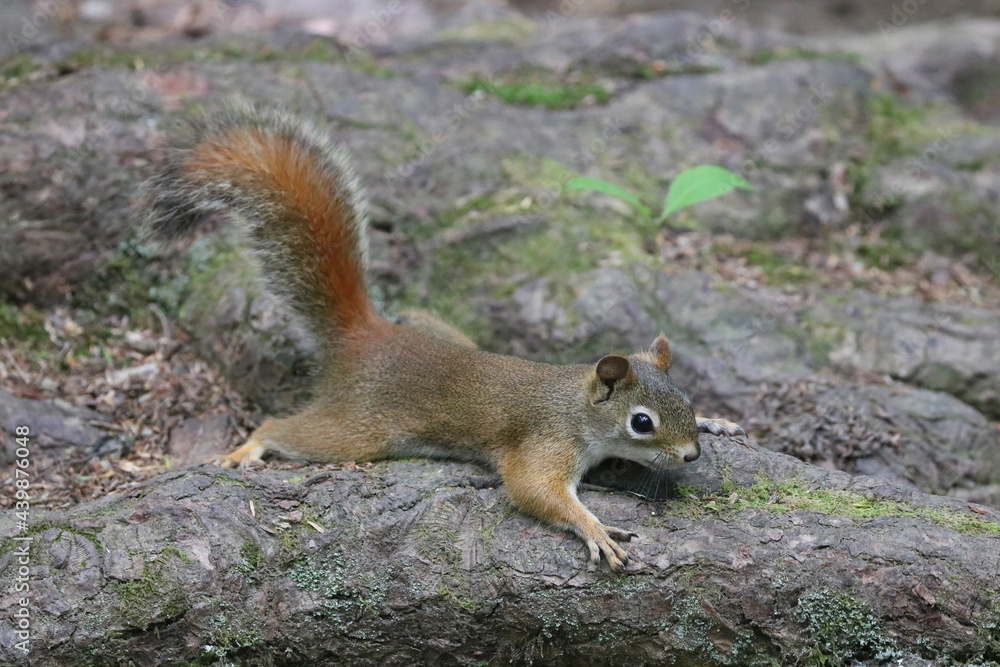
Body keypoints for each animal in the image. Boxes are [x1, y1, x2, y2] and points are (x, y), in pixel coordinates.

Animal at [139, 104, 745, 571]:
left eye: (686, 398)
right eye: (641, 422)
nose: (691, 455)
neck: (574, 405)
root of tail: (366, 337)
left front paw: (718, 420)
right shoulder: (542, 444)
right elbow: (532, 489)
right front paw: (594, 528)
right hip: (355, 427)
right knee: (283, 428)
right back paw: (246, 449)